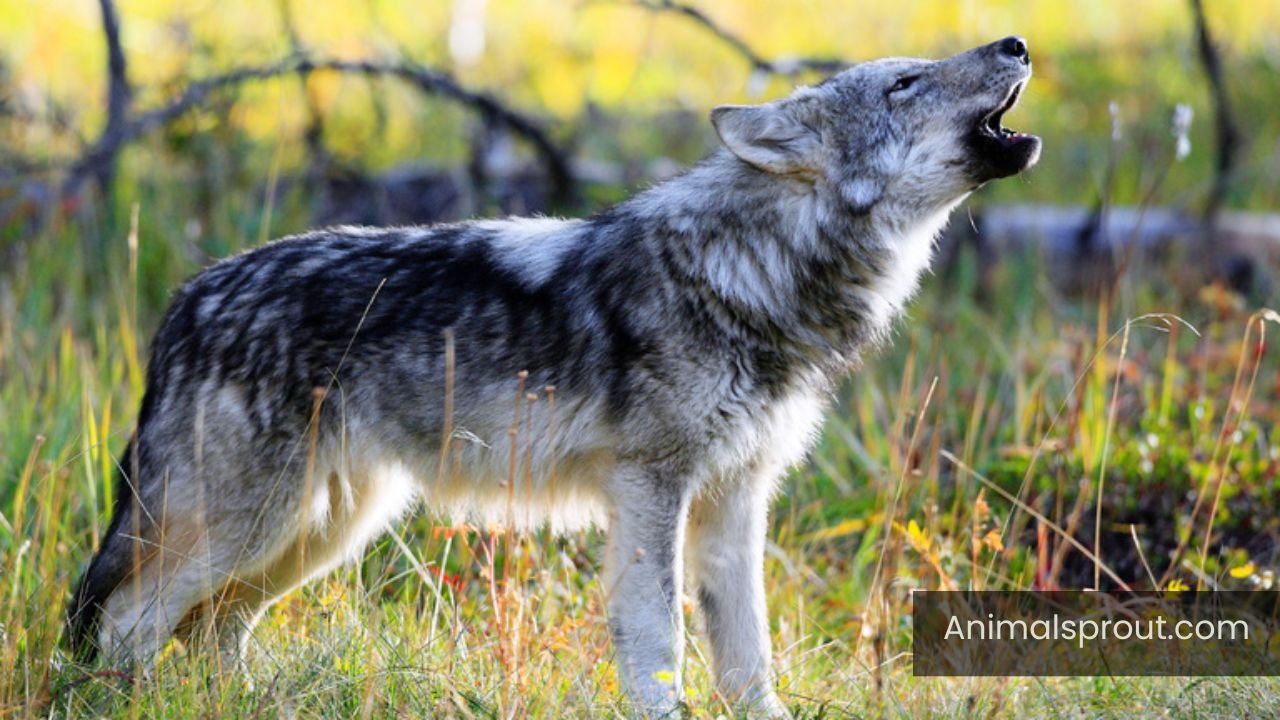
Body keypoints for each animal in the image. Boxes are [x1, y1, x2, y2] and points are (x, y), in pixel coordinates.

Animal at [67, 37, 1039, 717]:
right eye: (904, 84)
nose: (1018, 42)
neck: (749, 272)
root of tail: (187, 298)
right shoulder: (652, 488)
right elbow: (658, 640)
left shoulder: (735, 500)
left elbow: (749, 655)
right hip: (253, 529)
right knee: (128, 624)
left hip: (319, 531)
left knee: (211, 631)